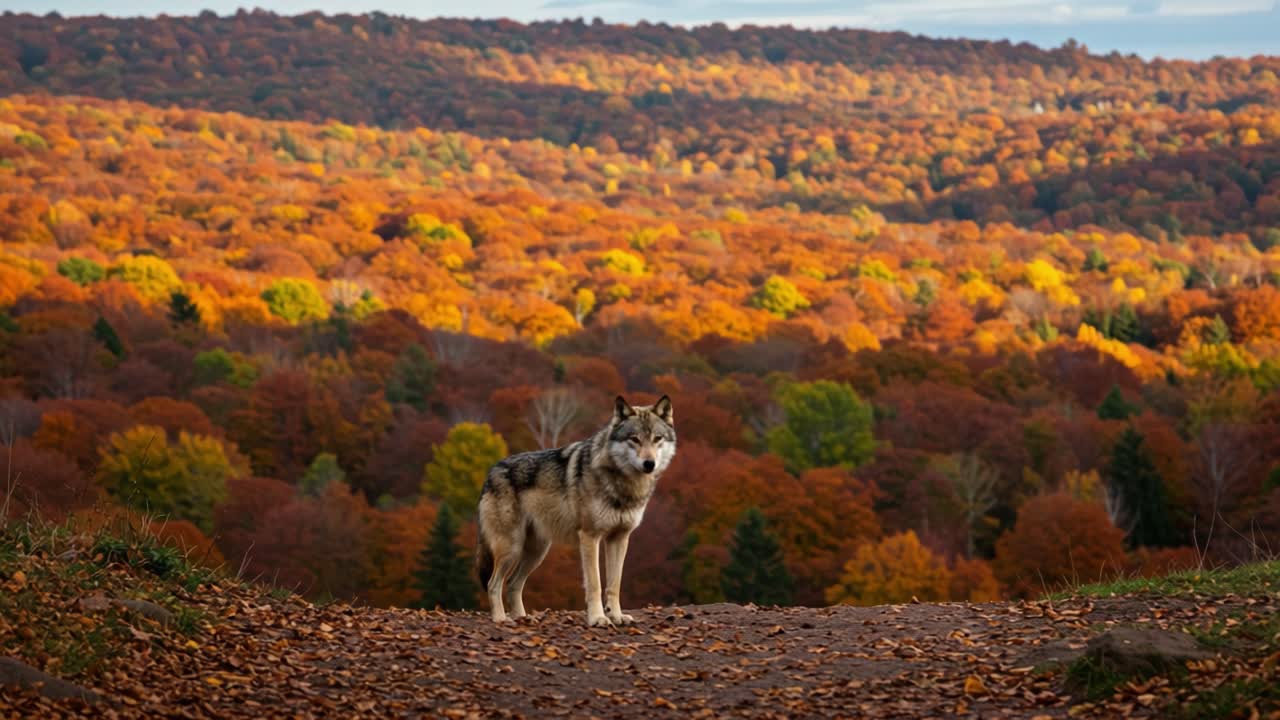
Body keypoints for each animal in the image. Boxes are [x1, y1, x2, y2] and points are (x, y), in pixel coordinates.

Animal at [476, 395, 675, 627]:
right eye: (634, 439)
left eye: (657, 438)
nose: (649, 463)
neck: (623, 484)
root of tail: (491, 471)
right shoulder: (589, 537)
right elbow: (595, 583)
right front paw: (598, 618)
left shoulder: (619, 538)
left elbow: (614, 584)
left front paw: (616, 616)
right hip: (512, 548)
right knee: (494, 583)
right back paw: (501, 619)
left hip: (536, 552)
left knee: (513, 584)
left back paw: (523, 618)